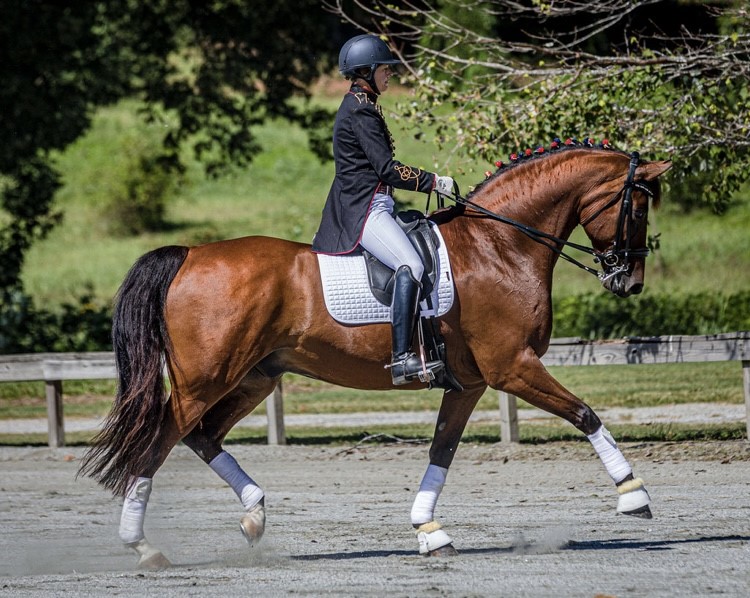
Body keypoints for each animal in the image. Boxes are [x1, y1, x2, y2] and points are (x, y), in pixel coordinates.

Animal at [79, 143, 672, 568]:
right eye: (639, 207)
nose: (630, 282)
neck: (499, 246)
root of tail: (189, 255)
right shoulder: (514, 367)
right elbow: (585, 413)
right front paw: (634, 496)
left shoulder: (472, 383)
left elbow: (441, 451)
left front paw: (430, 532)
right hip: (206, 379)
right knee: (161, 437)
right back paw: (143, 547)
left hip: (253, 378)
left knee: (201, 436)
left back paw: (254, 517)